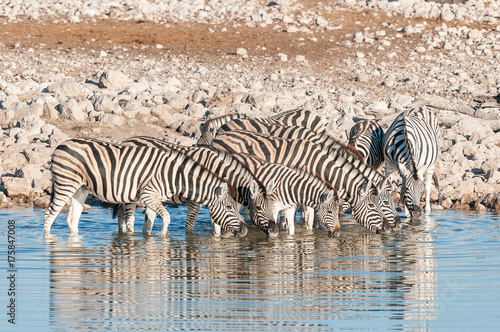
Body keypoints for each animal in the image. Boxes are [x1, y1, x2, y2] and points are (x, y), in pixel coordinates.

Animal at [44, 137, 247, 236]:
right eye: (229, 207)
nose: (245, 230)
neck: (174, 175)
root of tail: (61, 145)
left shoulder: (153, 198)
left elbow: (150, 222)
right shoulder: (149, 194)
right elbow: (167, 217)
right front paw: (163, 237)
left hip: (81, 189)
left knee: (72, 219)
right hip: (65, 184)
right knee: (49, 215)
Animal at [117, 136, 280, 237]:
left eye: (271, 207)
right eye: (258, 208)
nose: (275, 232)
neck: (215, 170)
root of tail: (126, 140)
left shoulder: (215, 201)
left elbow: (217, 228)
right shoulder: (195, 201)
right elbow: (190, 227)